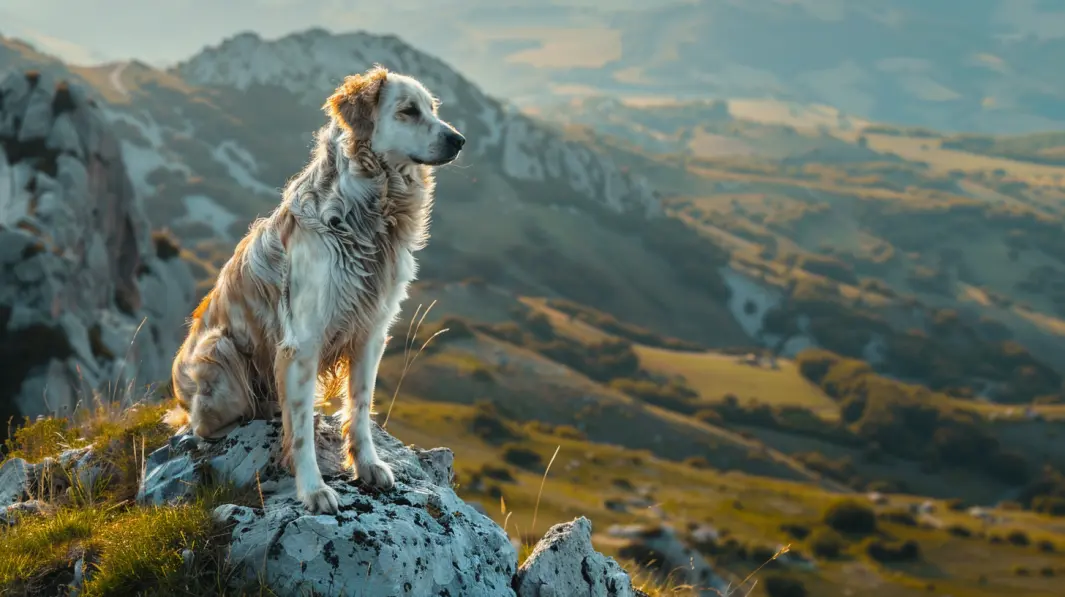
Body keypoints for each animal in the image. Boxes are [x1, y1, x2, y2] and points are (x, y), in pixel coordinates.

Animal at [165, 65, 462, 512]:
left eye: (432, 109)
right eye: (408, 111)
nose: (458, 140)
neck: (369, 213)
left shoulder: (371, 332)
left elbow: (360, 407)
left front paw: (367, 465)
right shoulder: (302, 341)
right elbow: (302, 428)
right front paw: (313, 488)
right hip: (220, 357)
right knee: (199, 423)